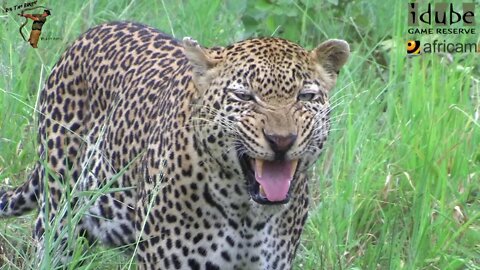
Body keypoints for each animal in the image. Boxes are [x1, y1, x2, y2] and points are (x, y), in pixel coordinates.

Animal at [0, 21, 346, 270]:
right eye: (244, 97)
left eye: (305, 96)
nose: (282, 140)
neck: (248, 216)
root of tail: (87, 35)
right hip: (61, 219)